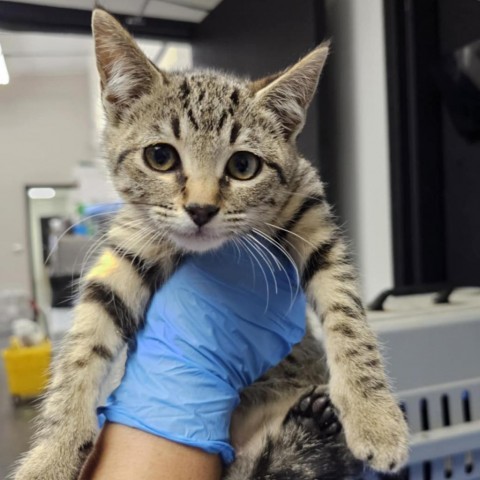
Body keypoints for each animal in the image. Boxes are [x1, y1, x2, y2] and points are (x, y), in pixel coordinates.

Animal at [13, 8, 406, 480]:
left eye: (243, 165)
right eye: (160, 157)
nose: (201, 209)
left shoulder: (311, 214)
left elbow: (348, 315)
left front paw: (374, 414)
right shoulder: (127, 251)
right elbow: (82, 348)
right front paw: (52, 452)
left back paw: (318, 420)